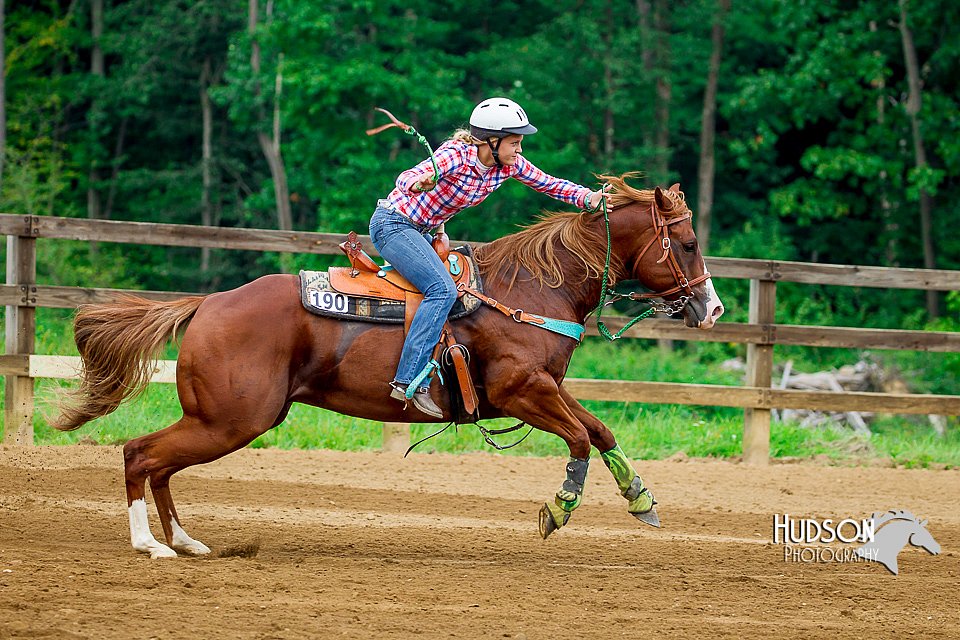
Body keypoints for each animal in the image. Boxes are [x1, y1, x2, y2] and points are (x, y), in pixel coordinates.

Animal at [52, 174, 724, 556]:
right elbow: (581, 437)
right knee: (140, 454)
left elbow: (601, 430)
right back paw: (151, 545)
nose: (712, 308)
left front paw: (641, 500)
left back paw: (186, 540)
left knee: (158, 462)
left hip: (225, 420)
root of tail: (209, 303)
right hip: (230, 419)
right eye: (689, 243)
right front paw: (555, 512)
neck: (529, 289)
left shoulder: (548, 387)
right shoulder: (520, 391)